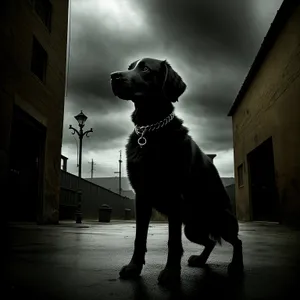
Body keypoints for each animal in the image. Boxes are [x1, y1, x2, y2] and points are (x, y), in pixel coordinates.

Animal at [110, 57, 244, 284]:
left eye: (146, 68)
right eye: (130, 67)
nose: (113, 76)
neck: (150, 129)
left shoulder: (174, 197)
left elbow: (173, 241)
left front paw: (171, 273)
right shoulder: (142, 197)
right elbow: (139, 237)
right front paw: (134, 267)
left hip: (221, 220)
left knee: (237, 241)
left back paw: (236, 266)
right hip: (192, 229)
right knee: (210, 241)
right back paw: (200, 260)